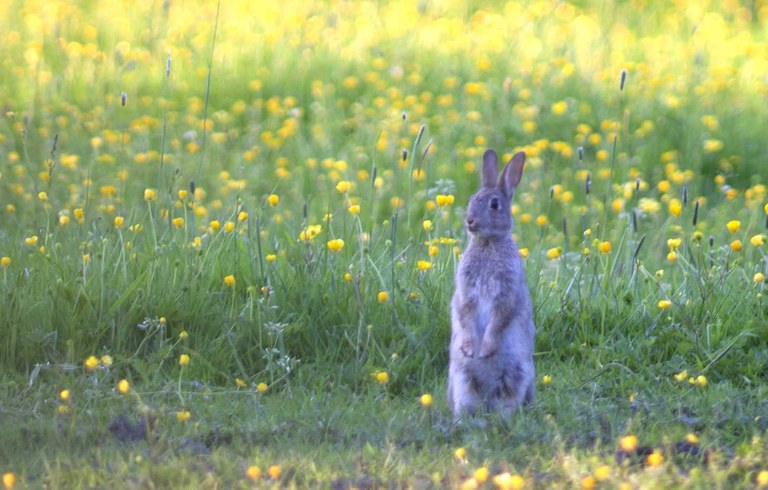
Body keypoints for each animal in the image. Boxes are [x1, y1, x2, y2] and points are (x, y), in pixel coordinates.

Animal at [447, 148, 536, 417]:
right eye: (472, 199)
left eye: (494, 204)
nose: (469, 221)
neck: (488, 243)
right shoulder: (465, 293)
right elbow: (464, 313)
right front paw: (469, 349)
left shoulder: (507, 294)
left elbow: (499, 319)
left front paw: (484, 350)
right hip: (461, 377)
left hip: (517, 373)